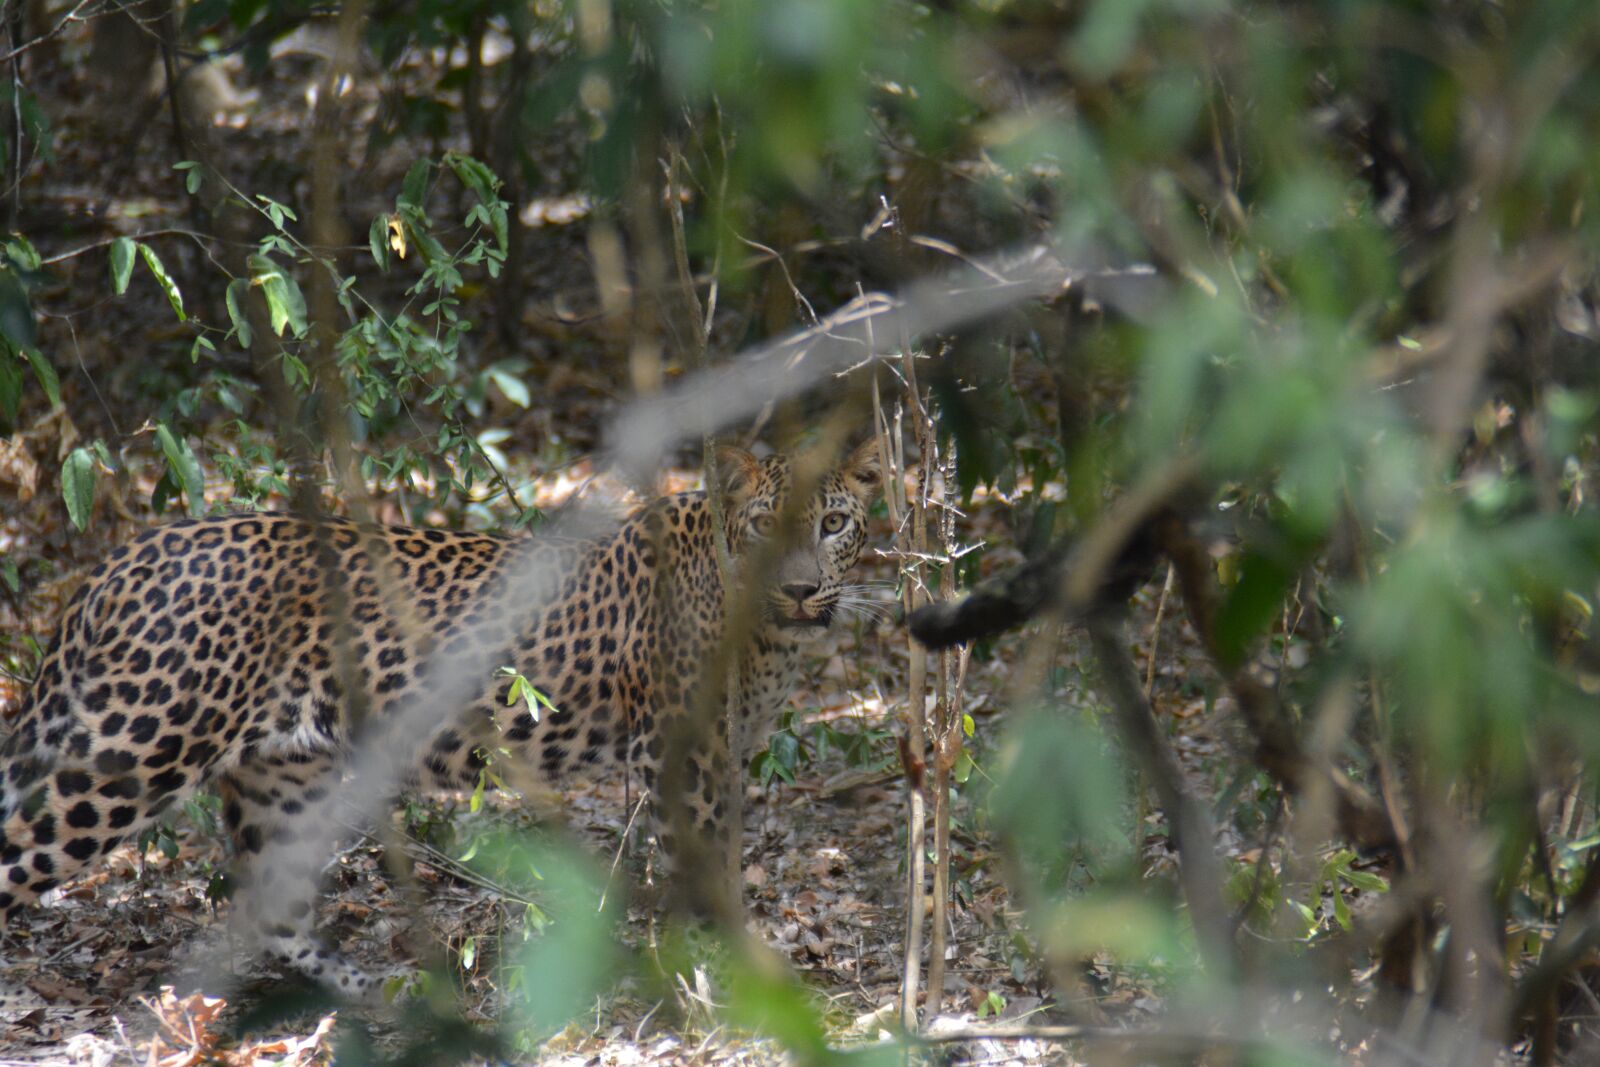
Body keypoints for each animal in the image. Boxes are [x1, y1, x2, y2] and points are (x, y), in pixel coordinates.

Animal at [0, 440, 882, 996]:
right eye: (766, 524)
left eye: (834, 523)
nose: (802, 589)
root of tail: (115, 564)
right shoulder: (684, 751)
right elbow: (706, 873)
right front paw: (731, 978)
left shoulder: (720, 753)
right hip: (130, 755)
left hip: (280, 772)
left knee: (275, 904)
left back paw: (386, 988)